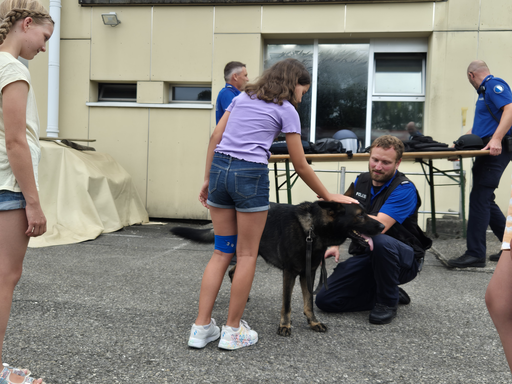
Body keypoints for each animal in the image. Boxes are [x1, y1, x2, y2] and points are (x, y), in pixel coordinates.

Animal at [170, 190, 382, 336]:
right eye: (360, 215)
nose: (381, 225)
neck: (312, 229)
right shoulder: (289, 273)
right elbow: (286, 303)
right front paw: (285, 325)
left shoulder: (308, 273)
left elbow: (308, 302)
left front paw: (313, 322)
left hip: (250, 254)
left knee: (233, 271)